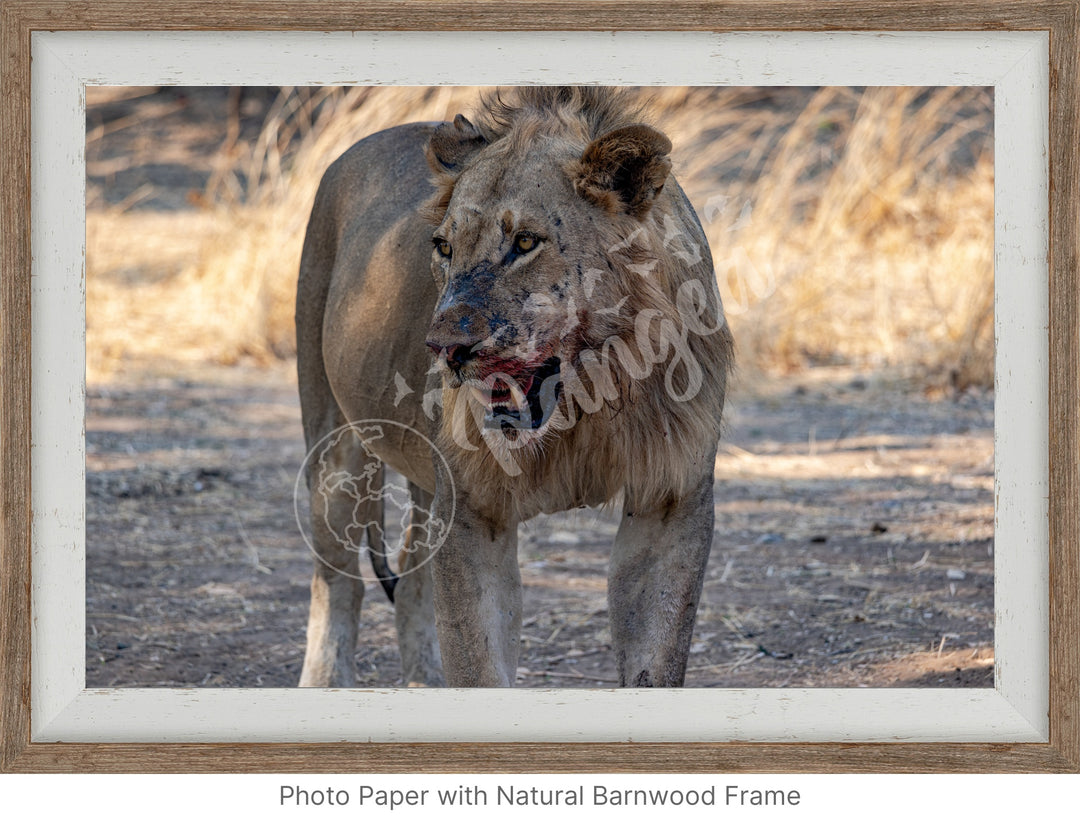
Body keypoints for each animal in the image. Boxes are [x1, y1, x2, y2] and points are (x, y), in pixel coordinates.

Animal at [295, 87, 734, 690]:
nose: (444, 349)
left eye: (526, 242)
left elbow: (656, 662)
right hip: (335, 443)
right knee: (335, 581)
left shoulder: (671, 501)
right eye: (444, 247)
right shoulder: (473, 509)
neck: (590, 402)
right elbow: (477, 662)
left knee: (408, 576)